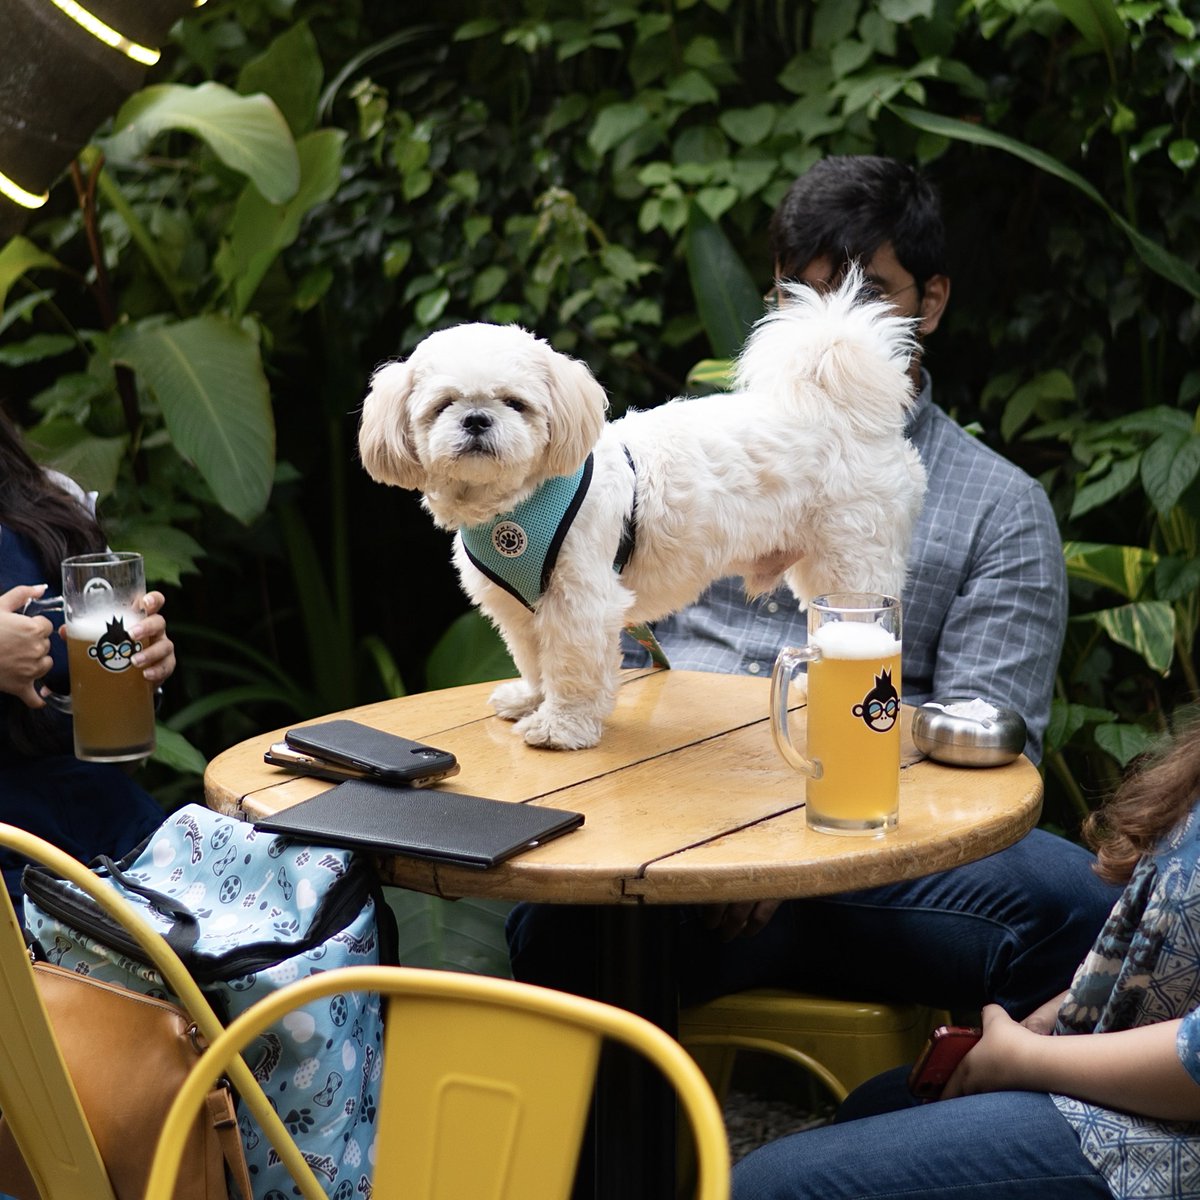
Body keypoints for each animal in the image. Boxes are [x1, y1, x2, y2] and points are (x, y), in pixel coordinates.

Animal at [360, 274, 921, 748]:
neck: (516, 505)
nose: (476, 419)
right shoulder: (518, 606)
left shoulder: (582, 600)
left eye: (515, 403)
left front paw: (562, 726)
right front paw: (532, 700)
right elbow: (536, 659)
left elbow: (572, 665)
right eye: (443, 405)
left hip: (852, 559)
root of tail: (841, 412)